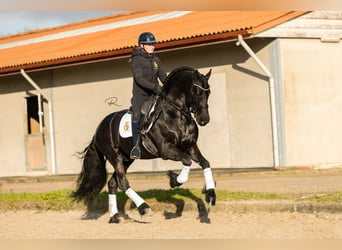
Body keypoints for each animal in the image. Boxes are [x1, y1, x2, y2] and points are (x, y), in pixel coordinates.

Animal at [72, 66, 216, 223]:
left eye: (208, 92)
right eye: (196, 92)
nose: (204, 120)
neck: (175, 114)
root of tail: (99, 128)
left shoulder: (190, 146)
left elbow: (205, 163)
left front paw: (210, 195)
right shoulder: (166, 149)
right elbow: (187, 160)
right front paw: (175, 180)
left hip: (126, 159)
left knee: (112, 183)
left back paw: (114, 216)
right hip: (115, 157)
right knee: (123, 182)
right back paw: (143, 207)